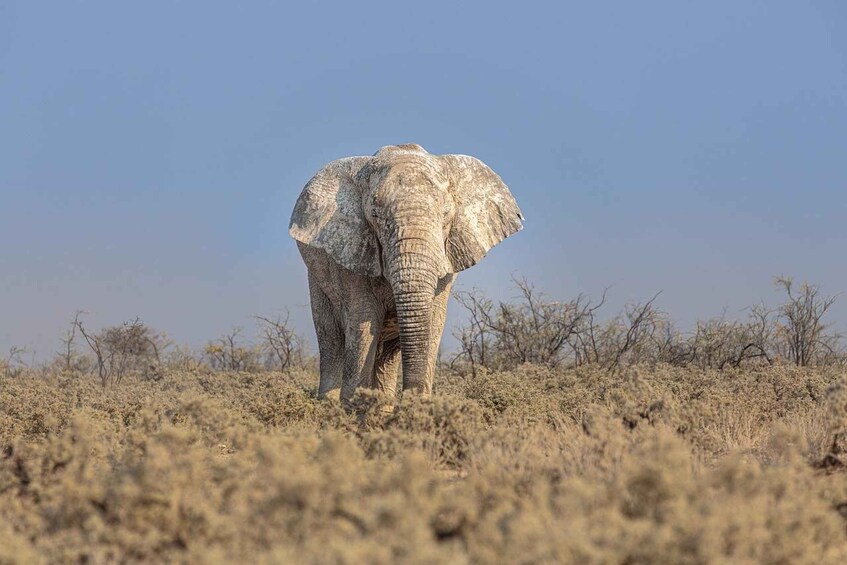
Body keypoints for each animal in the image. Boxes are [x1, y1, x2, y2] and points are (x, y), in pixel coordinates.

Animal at [288, 143, 520, 404]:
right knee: (333, 341)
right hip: (318, 280)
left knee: (387, 355)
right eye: (375, 215)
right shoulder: (350, 253)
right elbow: (362, 323)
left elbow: (433, 323)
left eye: (446, 214)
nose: (410, 400)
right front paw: (352, 408)